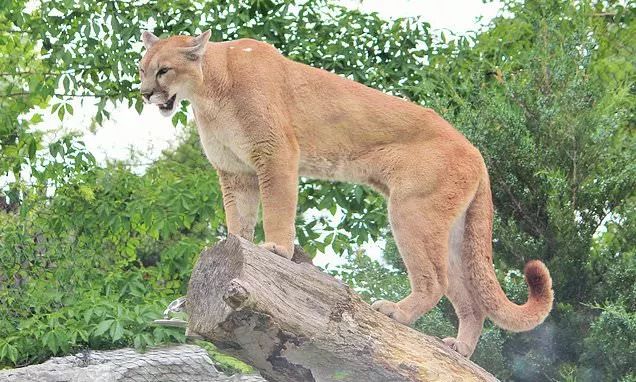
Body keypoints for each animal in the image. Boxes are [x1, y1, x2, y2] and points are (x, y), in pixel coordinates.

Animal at [138, 30, 552, 358]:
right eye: (143, 68)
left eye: (163, 70)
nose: (144, 94)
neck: (209, 92)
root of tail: (476, 152)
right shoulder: (235, 173)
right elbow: (237, 220)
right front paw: (236, 245)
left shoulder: (276, 155)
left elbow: (277, 207)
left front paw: (276, 250)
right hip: (448, 230)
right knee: (468, 297)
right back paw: (460, 348)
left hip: (412, 211)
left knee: (435, 281)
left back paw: (396, 312)